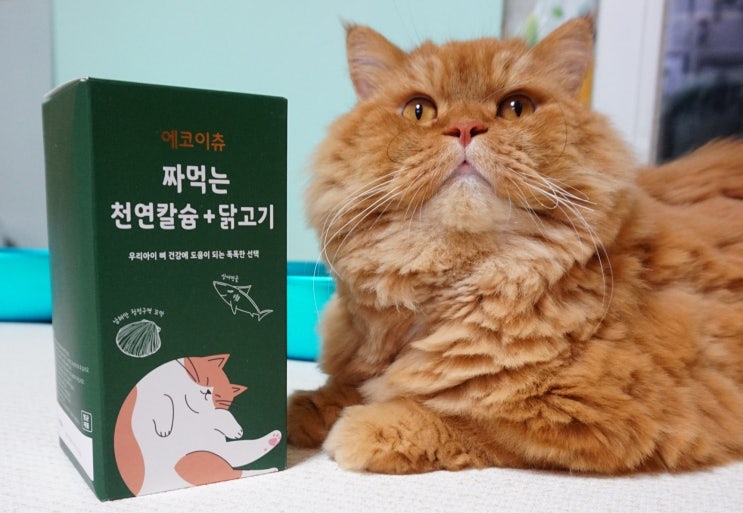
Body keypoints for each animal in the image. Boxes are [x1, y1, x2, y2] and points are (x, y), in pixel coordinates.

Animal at [114, 354, 281, 496]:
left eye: (218, 397)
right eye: (206, 380)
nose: (207, 392)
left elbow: (221, 413)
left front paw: (235, 429)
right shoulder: (149, 392)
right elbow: (164, 399)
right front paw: (164, 428)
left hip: (206, 454)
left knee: (239, 455)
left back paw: (273, 440)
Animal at [287, 17, 743, 475]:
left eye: (515, 108)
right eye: (420, 110)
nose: (465, 127)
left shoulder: (605, 415)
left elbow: (462, 415)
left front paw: (367, 426)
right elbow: (341, 385)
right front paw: (301, 409)